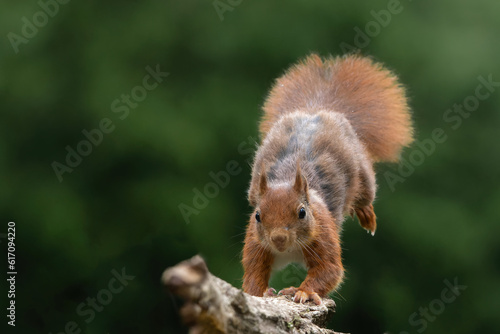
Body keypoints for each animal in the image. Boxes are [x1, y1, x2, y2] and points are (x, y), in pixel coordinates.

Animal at [242, 54, 414, 306]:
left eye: (302, 212)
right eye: (257, 216)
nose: (279, 238)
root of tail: (319, 110)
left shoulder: (323, 230)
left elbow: (329, 270)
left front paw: (302, 291)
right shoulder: (256, 242)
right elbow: (252, 273)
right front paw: (259, 292)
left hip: (363, 173)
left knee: (365, 194)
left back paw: (367, 214)